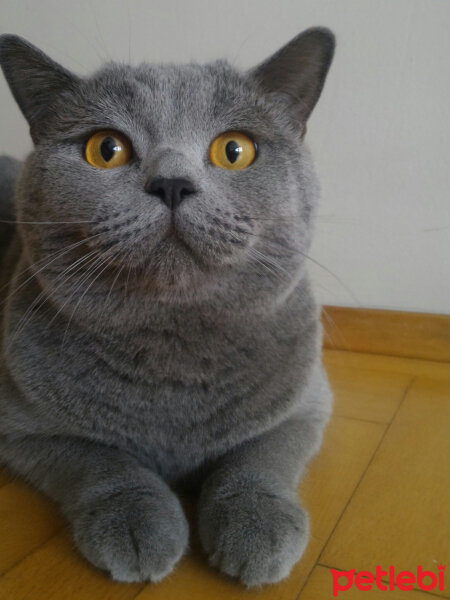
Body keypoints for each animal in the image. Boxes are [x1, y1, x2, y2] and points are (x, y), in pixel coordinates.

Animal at [0, 28, 334, 584]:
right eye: (106, 149)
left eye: (235, 150)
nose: (172, 183)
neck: (174, 350)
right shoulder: (21, 426)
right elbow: (99, 459)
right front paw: (137, 524)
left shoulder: (306, 403)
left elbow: (260, 455)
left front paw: (255, 526)